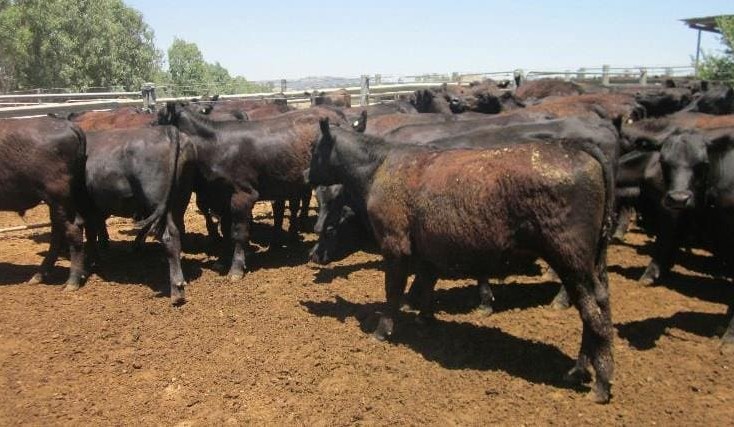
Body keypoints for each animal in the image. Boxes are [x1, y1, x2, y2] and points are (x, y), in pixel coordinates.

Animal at [0, 117, 87, 289]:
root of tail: (69, 125)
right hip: (57, 202)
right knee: (58, 233)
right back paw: (40, 275)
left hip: (58, 197)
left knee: (72, 230)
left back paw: (72, 281)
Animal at [84, 126, 196, 305]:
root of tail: (167, 130)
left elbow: (91, 233)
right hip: (180, 199)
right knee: (178, 231)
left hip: (157, 200)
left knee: (170, 236)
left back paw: (176, 291)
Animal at [161, 102, 348, 279]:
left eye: (158, 119)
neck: (216, 145)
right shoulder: (222, 199)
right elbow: (225, 230)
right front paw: (222, 261)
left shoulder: (243, 195)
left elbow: (239, 233)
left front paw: (236, 269)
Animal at [307, 119, 615, 403]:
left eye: (330, 228)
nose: (306, 174)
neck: (380, 167)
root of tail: (574, 148)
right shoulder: (427, 251)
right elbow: (426, 284)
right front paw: (425, 319)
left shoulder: (395, 246)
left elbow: (393, 292)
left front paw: (382, 331)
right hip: (592, 264)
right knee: (600, 307)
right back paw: (579, 370)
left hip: (570, 260)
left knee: (594, 316)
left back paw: (600, 384)